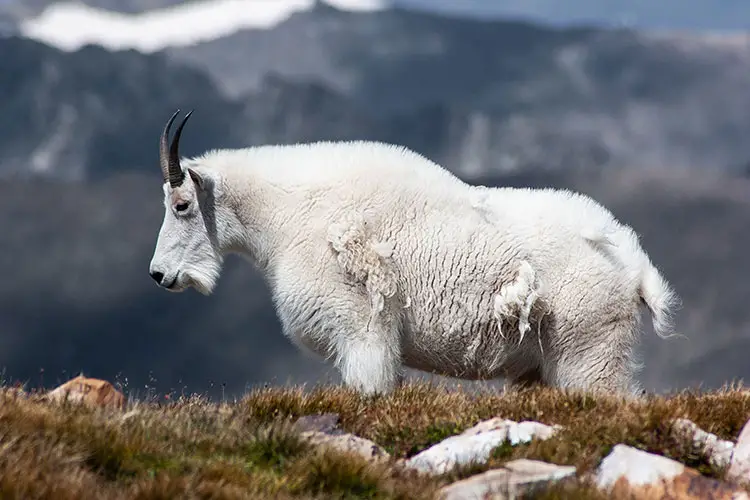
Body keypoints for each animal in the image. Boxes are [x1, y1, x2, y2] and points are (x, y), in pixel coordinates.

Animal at [148, 110, 680, 398]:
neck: (287, 214)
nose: (159, 275)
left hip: (589, 354)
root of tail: (636, 267)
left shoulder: (361, 331)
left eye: (181, 204)